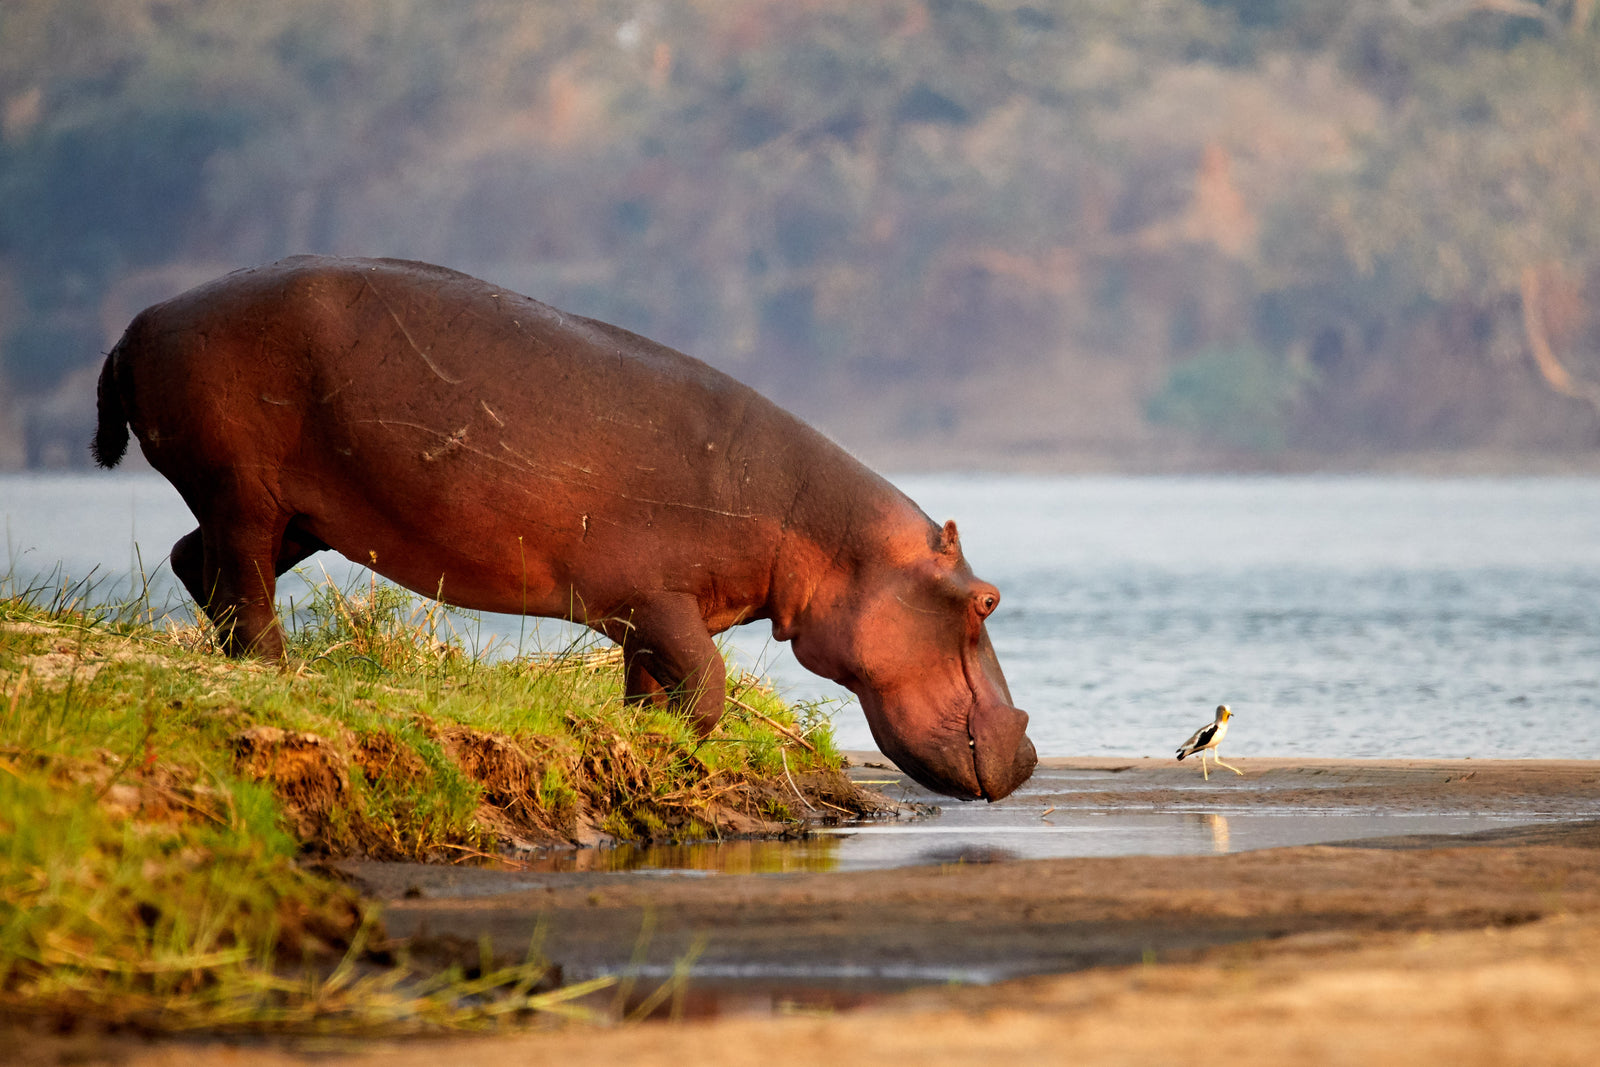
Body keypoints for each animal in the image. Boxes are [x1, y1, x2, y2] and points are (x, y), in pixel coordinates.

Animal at [91, 256, 1036, 800]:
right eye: (987, 599)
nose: (1030, 752)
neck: (829, 535)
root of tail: (136, 325)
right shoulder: (660, 597)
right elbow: (709, 684)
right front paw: (674, 754)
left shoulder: (645, 616)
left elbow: (653, 687)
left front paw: (647, 745)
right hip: (245, 492)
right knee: (242, 584)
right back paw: (272, 673)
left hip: (303, 513)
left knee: (196, 561)